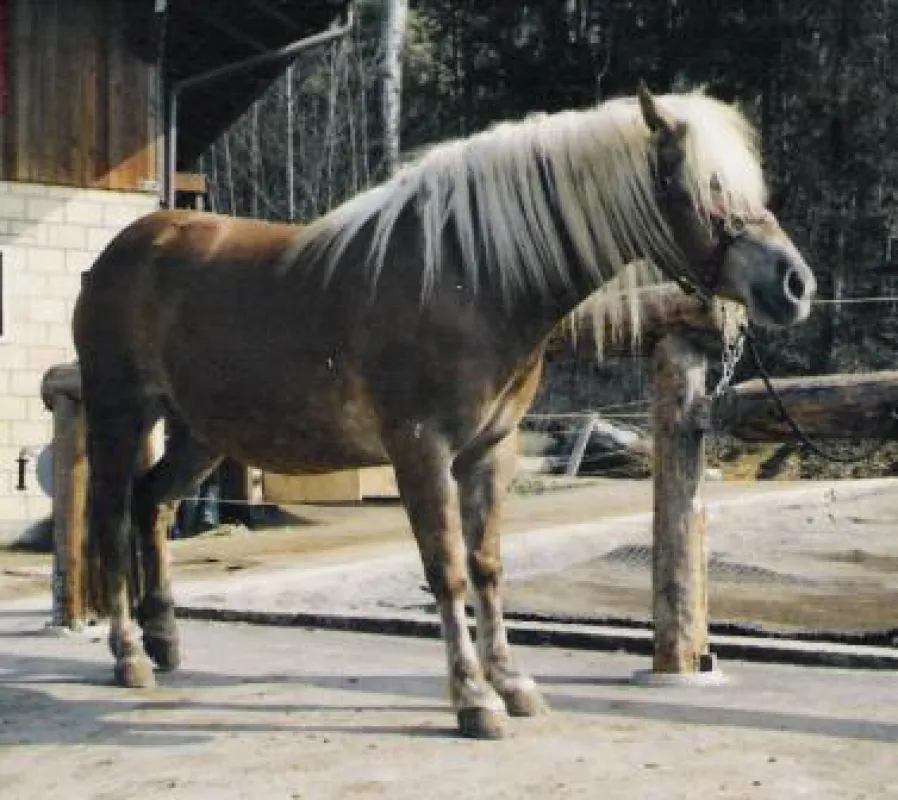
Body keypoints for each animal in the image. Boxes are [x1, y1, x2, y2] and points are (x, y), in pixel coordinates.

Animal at [73, 86, 816, 739]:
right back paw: (129, 654)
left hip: (202, 432)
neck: (470, 278)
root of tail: (126, 248)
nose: (795, 284)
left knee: (152, 504)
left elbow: (487, 566)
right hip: (120, 412)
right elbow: (447, 567)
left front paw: (512, 683)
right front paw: (472, 699)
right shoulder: (421, 449)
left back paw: (166, 640)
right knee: (111, 515)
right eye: (706, 188)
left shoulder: (491, 449)